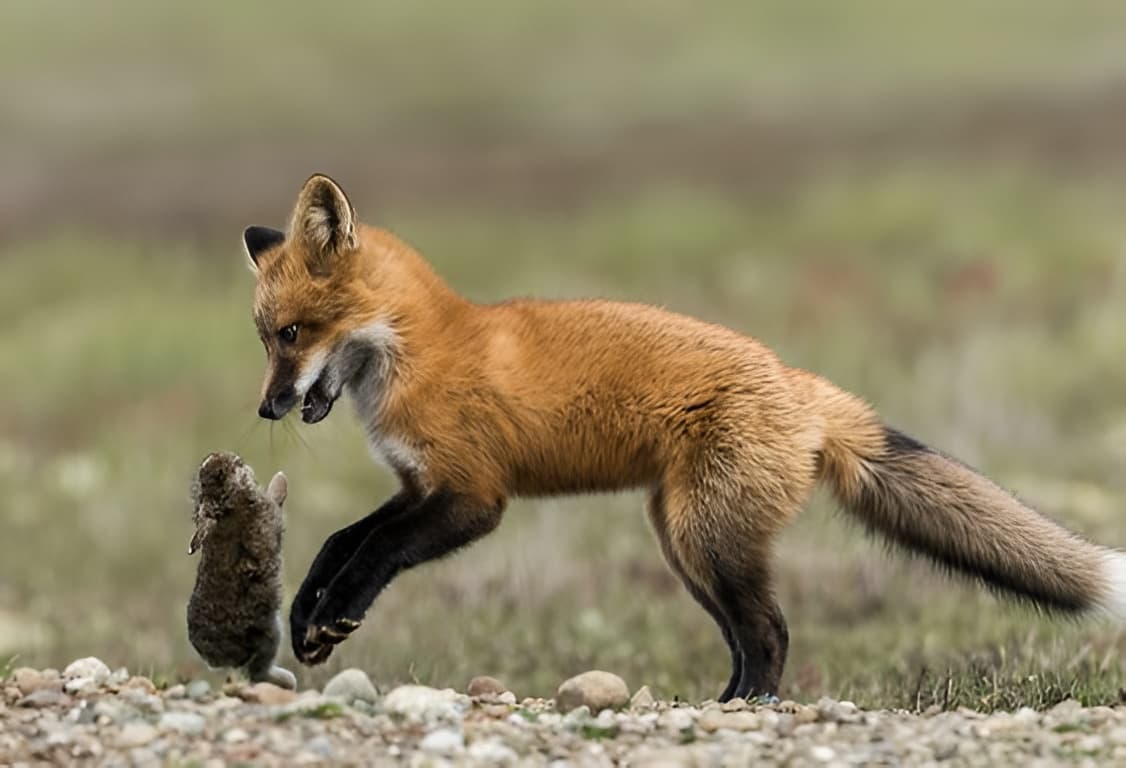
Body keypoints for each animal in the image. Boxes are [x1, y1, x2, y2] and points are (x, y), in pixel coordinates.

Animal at [186, 451, 296, 689]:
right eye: (238, 464)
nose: (234, 457)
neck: (229, 501)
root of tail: (217, 658)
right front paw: (281, 481)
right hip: (271, 633)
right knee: (258, 672)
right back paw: (288, 681)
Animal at [243, 173, 1126, 702]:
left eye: (292, 334)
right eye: (263, 338)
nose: (267, 410)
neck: (420, 353)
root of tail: (798, 382)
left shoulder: (472, 495)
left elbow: (375, 553)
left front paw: (336, 615)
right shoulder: (418, 485)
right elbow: (340, 540)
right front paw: (308, 615)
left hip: (706, 538)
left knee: (770, 631)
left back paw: (750, 709)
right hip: (684, 541)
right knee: (746, 635)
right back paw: (728, 701)